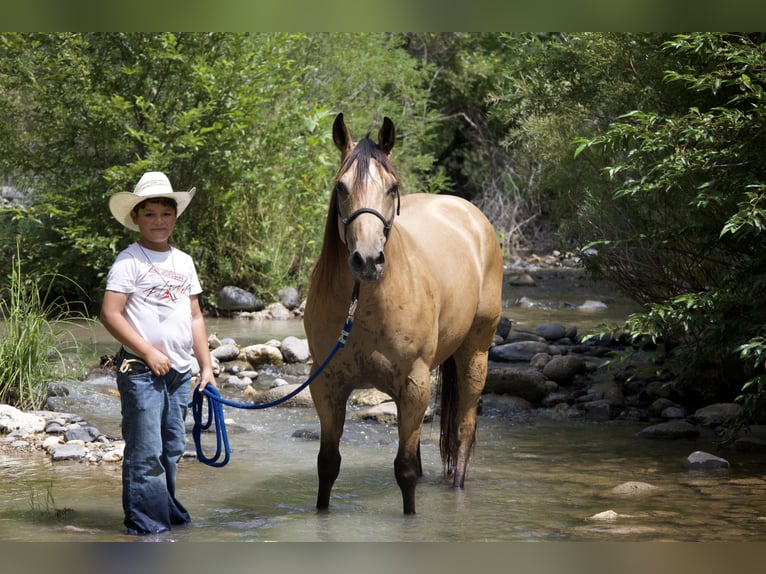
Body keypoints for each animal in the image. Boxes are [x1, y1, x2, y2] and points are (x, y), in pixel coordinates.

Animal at [303, 113, 503, 515]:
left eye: (391, 187)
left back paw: (458, 488)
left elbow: (405, 470)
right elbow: (328, 464)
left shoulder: (414, 384)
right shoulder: (326, 384)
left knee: (464, 429)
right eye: (341, 187)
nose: (367, 260)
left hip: (475, 354)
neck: (363, 308)